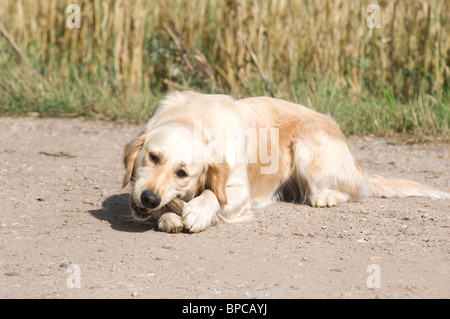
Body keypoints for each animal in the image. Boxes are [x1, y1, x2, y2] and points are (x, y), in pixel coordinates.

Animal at [121, 91, 448, 234]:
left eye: (182, 173)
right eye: (153, 157)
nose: (149, 198)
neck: (195, 119)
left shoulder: (241, 190)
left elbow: (214, 194)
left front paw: (198, 212)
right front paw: (170, 215)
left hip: (306, 149)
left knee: (349, 192)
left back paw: (326, 198)